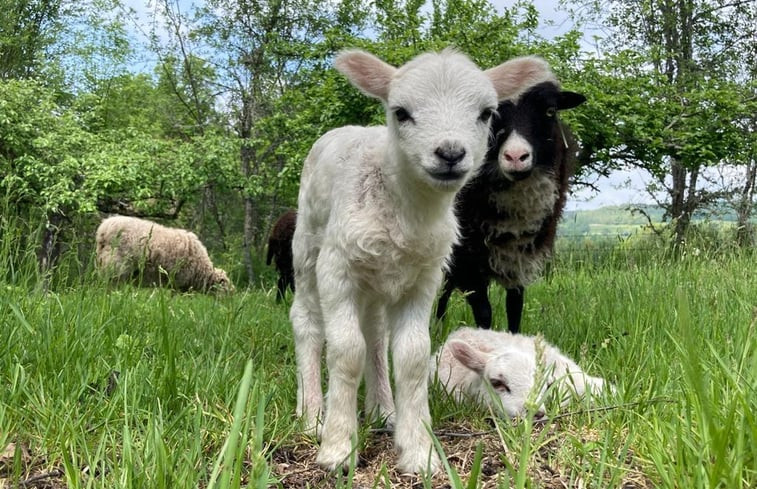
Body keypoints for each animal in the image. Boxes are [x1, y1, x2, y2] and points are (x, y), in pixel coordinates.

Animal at [286, 49, 552, 472]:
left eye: (486, 114)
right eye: (401, 112)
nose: (450, 153)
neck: (406, 212)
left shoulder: (424, 279)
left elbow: (411, 357)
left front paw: (418, 452)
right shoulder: (338, 269)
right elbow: (346, 352)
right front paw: (338, 449)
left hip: (378, 278)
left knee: (376, 334)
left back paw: (382, 411)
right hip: (309, 248)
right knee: (308, 323)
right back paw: (311, 415)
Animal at [434, 79, 588, 332]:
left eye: (550, 111)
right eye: (490, 113)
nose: (516, 156)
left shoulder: (520, 255)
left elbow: (515, 306)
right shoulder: (468, 259)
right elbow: (484, 311)